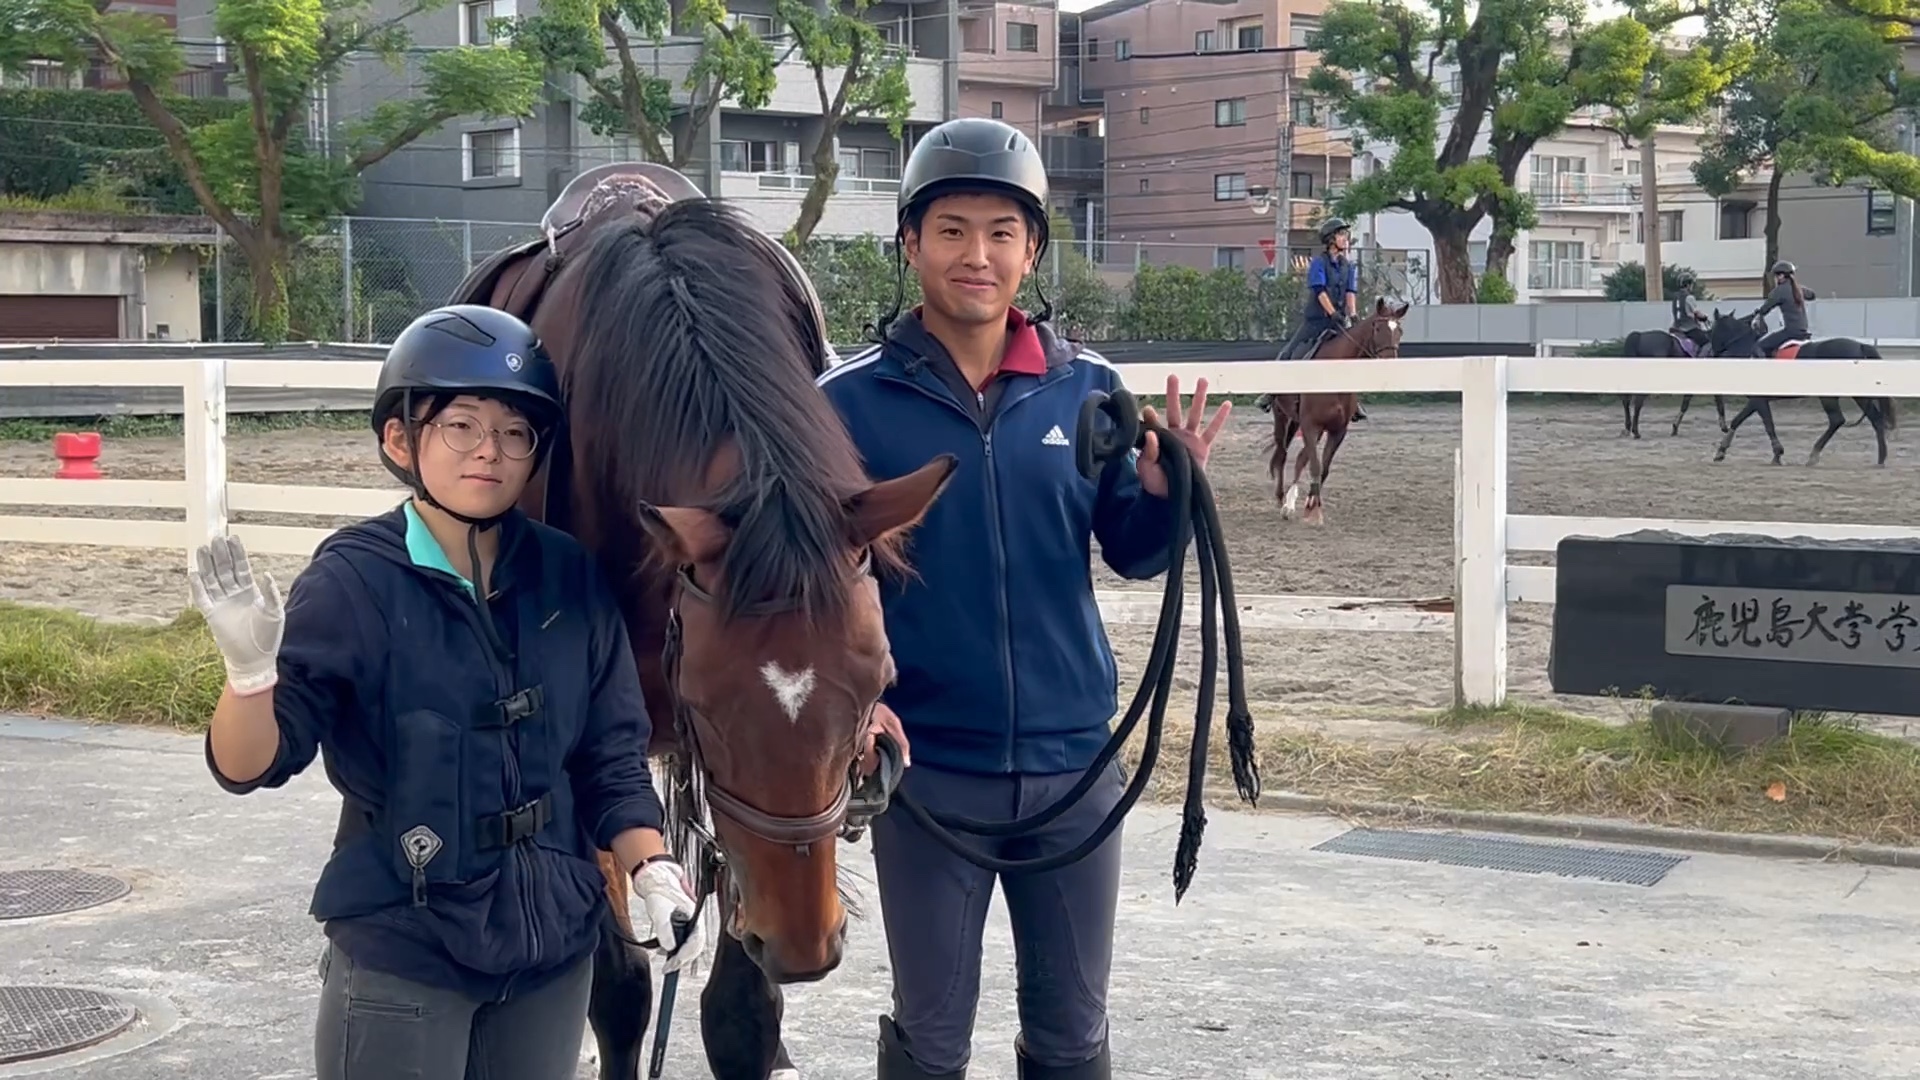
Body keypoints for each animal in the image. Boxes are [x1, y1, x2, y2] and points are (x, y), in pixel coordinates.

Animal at [1263, 298, 1409, 525]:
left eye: (1399, 331)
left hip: (1302, 424)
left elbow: (1323, 469)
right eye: (1378, 328)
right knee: (1282, 455)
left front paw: (1312, 506)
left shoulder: (1337, 430)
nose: (1390, 368)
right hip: (1283, 418)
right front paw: (1308, 509)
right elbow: (1315, 466)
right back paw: (1282, 501)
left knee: (1299, 458)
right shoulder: (1311, 425)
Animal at [1703, 308, 1897, 467]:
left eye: (1712, 331)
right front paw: (1721, 451)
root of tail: (1860, 346)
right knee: (1873, 419)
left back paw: (1814, 455)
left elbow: (1765, 423)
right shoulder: (1757, 400)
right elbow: (1741, 420)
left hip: (1835, 396)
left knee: (1838, 420)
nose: (1712, 353)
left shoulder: (1758, 399)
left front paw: (1777, 454)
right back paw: (1880, 459)